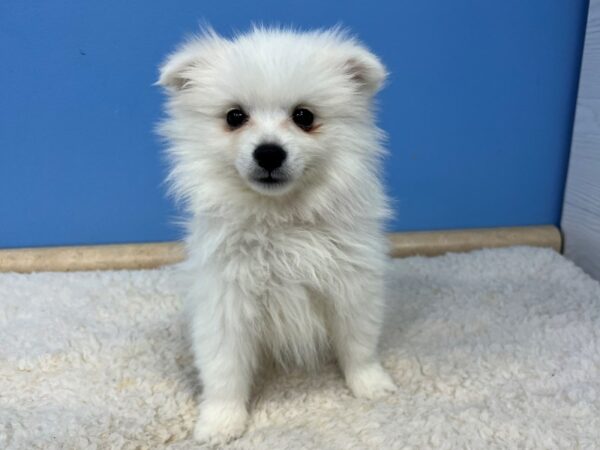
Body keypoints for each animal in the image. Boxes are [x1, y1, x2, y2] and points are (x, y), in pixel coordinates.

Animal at [157, 28, 396, 446]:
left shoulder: (352, 282)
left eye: (304, 116)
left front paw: (370, 384)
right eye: (235, 117)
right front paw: (220, 422)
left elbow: (358, 341)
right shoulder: (225, 297)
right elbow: (224, 366)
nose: (269, 153)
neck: (281, 219)